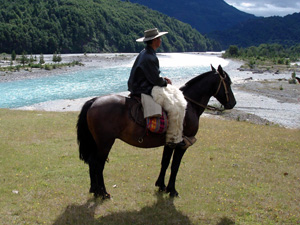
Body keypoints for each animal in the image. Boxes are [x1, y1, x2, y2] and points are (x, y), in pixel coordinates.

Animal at [76, 64, 236, 198]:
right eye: (228, 82)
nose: (233, 103)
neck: (189, 105)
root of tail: (94, 101)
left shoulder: (170, 143)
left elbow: (165, 162)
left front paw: (161, 185)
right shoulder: (182, 145)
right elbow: (175, 166)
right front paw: (172, 190)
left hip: (97, 143)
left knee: (92, 162)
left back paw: (95, 190)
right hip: (105, 143)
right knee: (99, 165)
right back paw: (103, 192)